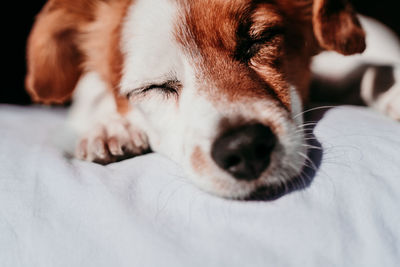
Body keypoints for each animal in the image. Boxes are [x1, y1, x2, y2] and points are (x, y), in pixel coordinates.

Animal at [26, 0, 398, 200]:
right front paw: (109, 125)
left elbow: (368, 70)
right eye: (152, 87)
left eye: (259, 40)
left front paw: (392, 89)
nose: (245, 147)